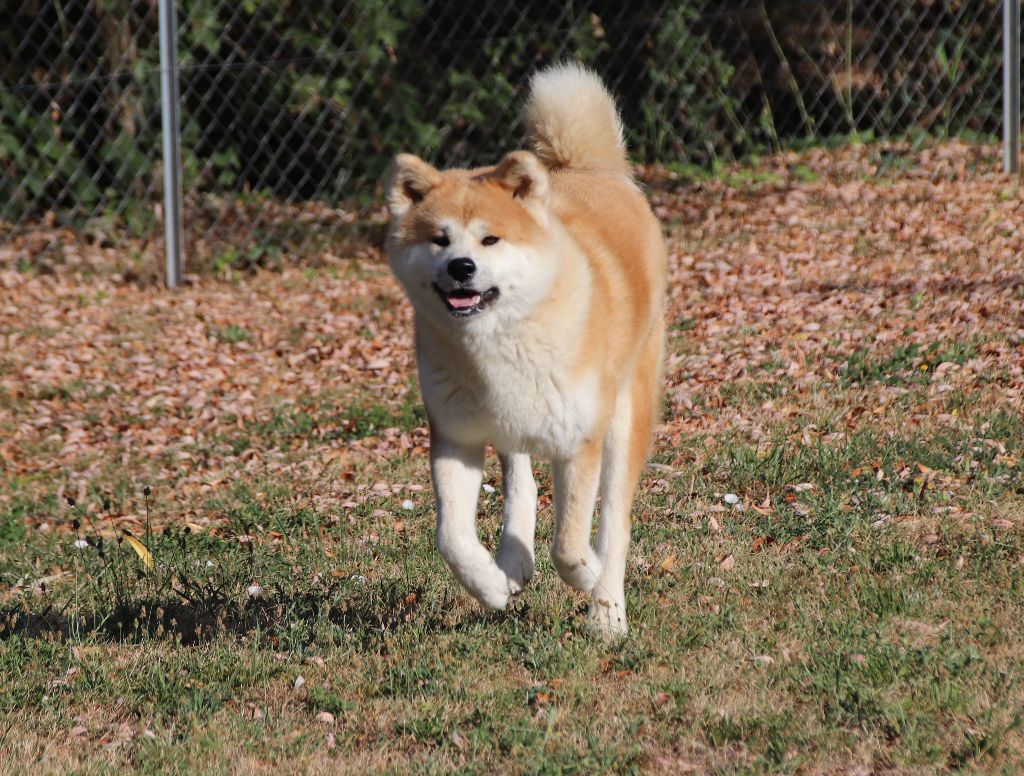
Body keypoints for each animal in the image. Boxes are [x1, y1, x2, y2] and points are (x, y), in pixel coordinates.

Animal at [385, 63, 663, 638]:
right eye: (439, 239)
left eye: (490, 240)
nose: (461, 268)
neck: (502, 341)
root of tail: (585, 170)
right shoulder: (456, 438)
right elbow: (452, 538)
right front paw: (490, 585)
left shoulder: (579, 442)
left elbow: (571, 545)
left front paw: (591, 582)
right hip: (509, 425)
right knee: (520, 481)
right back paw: (512, 563)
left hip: (624, 414)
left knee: (614, 522)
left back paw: (607, 609)